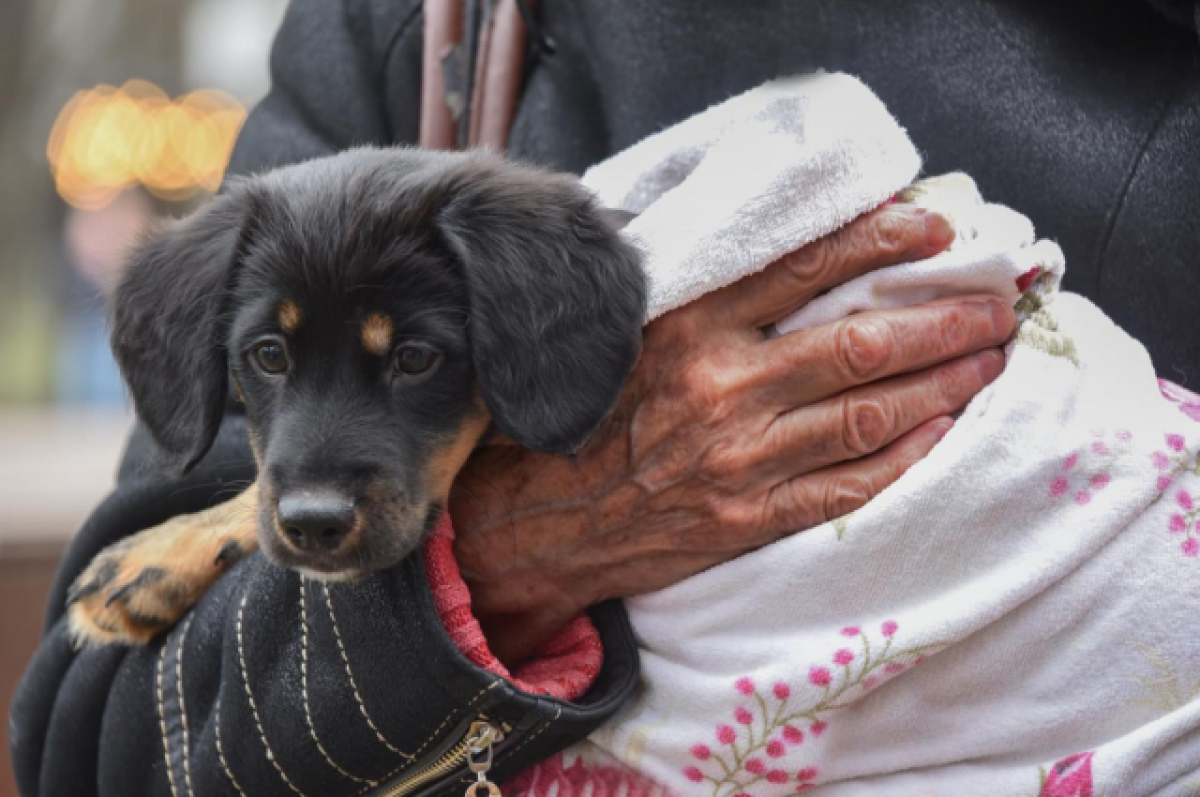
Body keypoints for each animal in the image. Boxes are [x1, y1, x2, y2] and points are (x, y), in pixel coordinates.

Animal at [65, 147, 648, 648]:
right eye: (269, 354)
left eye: (413, 358)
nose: (314, 524)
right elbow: (262, 489)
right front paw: (159, 556)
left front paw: (159, 553)